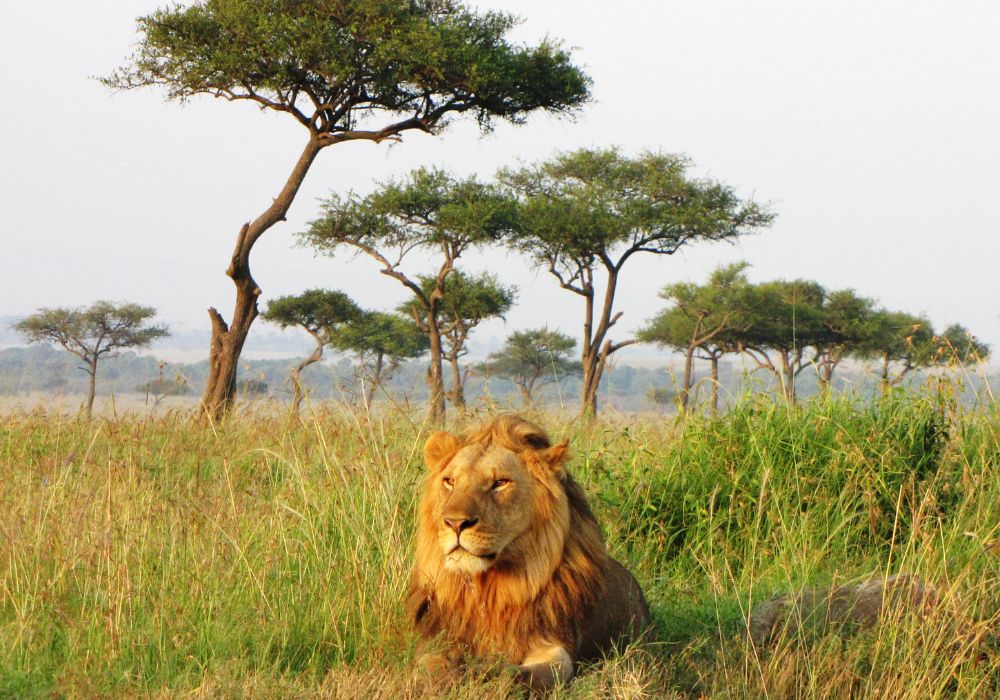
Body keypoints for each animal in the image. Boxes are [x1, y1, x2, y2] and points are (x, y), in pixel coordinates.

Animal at [408, 412, 656, 692]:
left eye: (500, 483)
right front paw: (447, 678)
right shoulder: (438, 639)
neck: (490, 590)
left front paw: (482, 674)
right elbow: (427, 666)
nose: (454, 522)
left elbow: (521, 673)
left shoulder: (554, 645)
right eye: (450, 482)